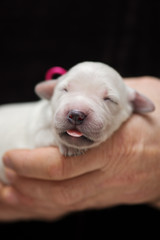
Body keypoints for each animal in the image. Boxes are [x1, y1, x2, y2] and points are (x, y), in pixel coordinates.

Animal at [0, 62, 155, 182]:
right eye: (64, 89)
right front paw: (70, 146)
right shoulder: (36, 132)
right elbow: (46, 134)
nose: (76, 115)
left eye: (109, 99)